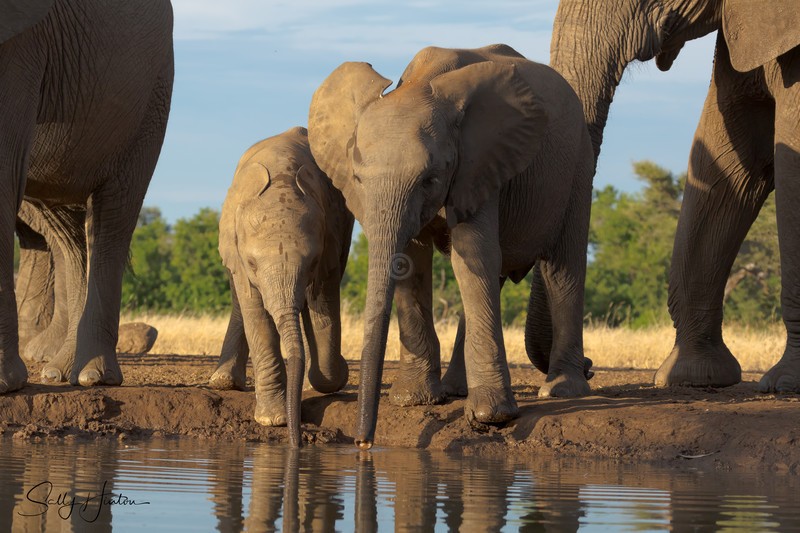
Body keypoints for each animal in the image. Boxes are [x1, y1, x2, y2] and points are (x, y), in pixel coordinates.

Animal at [0, 0, 174, 392]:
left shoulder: (20, 47)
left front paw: (5, 385)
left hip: (151, 95)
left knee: (112, 218)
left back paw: (93, 377)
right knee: (68, 238)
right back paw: (58, 373)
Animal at [212, 126, 353, 447]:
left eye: (312, 262)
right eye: (253, 263)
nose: (296, 440)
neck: (282, 179)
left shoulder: (332, 234)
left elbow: (322, 306)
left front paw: (332, 376)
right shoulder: (239, 255)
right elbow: (256, 316)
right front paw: (273, 420)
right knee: (240, 302)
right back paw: (223, 381)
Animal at [308, 44, 595, 448]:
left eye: (430, 178)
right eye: (358, 179)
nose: (363, 444)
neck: (420, 83)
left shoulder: (479, 164)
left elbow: (472, 254)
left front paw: (492, 417)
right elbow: (412, 260)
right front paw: (412, 400)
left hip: (578, 164)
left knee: (562, 269)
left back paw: (561, 390)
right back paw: (458, 389)